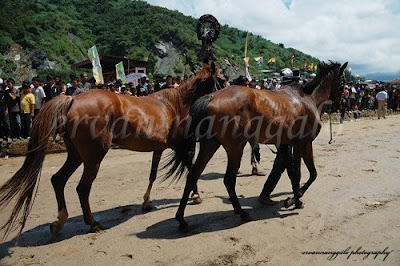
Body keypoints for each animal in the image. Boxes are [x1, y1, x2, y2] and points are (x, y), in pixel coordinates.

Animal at [0, 62, 223, 239]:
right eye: (221, 79)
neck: (173, 104)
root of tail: (72, 100)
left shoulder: (159, 148)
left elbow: (152, 174)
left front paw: (146, 202)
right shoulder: (180, 146)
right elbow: (191, 169)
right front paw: (196, 195)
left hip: (76, 155)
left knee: (58, 180)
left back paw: (59, 223)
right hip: (94, 156)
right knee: (82, 188)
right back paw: (92, 224)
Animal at [169, 61, 346, 229]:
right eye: (343, 83)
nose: (339, 106)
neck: (307, 98)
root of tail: (210, 97)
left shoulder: (291, 144)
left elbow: (295, 173)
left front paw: (295, 200)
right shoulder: (305, 142)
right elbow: (311, 174)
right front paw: (292, 200)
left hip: (210, 145)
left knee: (193, 175)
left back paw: (181, 219)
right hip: (235, 148)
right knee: (228, 180)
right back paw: (241, 213)